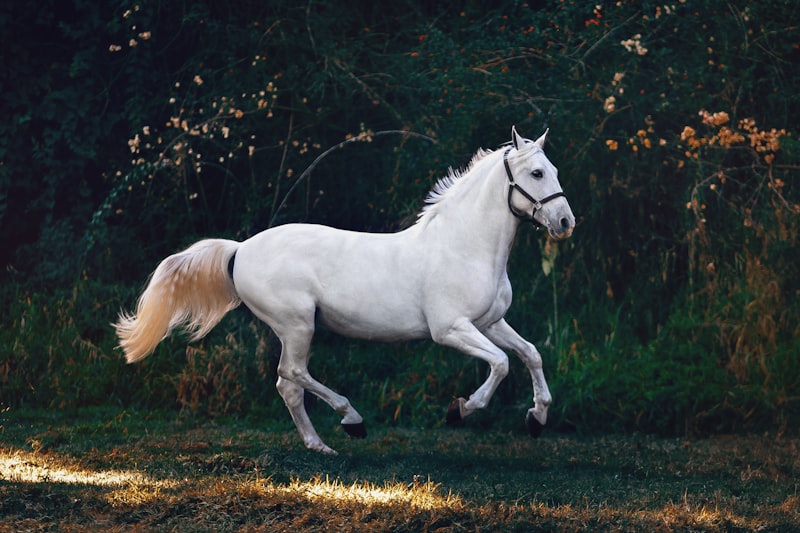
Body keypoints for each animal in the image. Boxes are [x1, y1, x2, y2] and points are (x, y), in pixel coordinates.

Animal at [115, 126, 575, 454]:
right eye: (537, 173)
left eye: (555, 171)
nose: (565, 222)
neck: (464, 245)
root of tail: (240, 249)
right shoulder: (451, 329)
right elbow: (501, 363)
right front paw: (459, 410)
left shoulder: (491, 322)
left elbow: (530, 354)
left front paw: (537, 418)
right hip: (297, 325)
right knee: (292, 375)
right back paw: (351, 421)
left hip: (296, 329)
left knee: (287, 385)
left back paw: (320, 445)